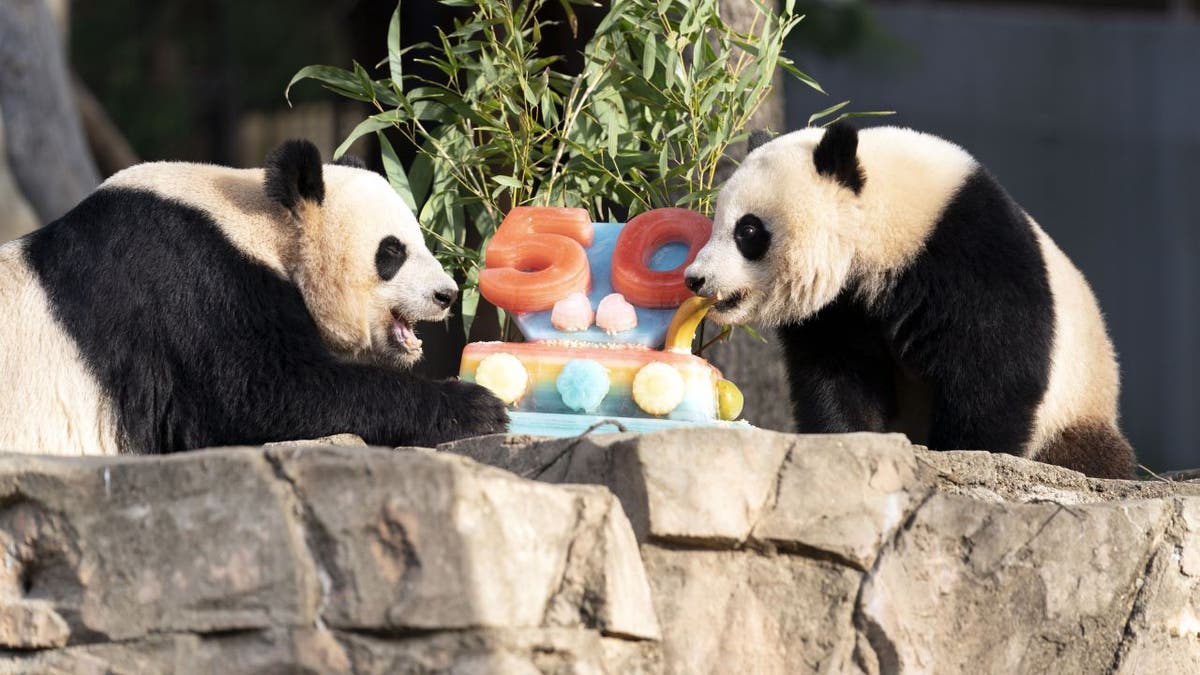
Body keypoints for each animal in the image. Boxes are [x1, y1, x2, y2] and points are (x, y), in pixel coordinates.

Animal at [0, 139, 511, 454]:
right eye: (392, 252)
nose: (446, 295)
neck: (257, 221)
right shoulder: (188, 283)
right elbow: (261, 395)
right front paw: (477, 407)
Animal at [686, 121, 1132, 478]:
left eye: (747, 231)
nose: (695, 278)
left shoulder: (971, 252)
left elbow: (996, 368)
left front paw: (967, 453)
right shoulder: (840, 309)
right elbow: (837, 372)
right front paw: (850, 442)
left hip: (1077, 405)